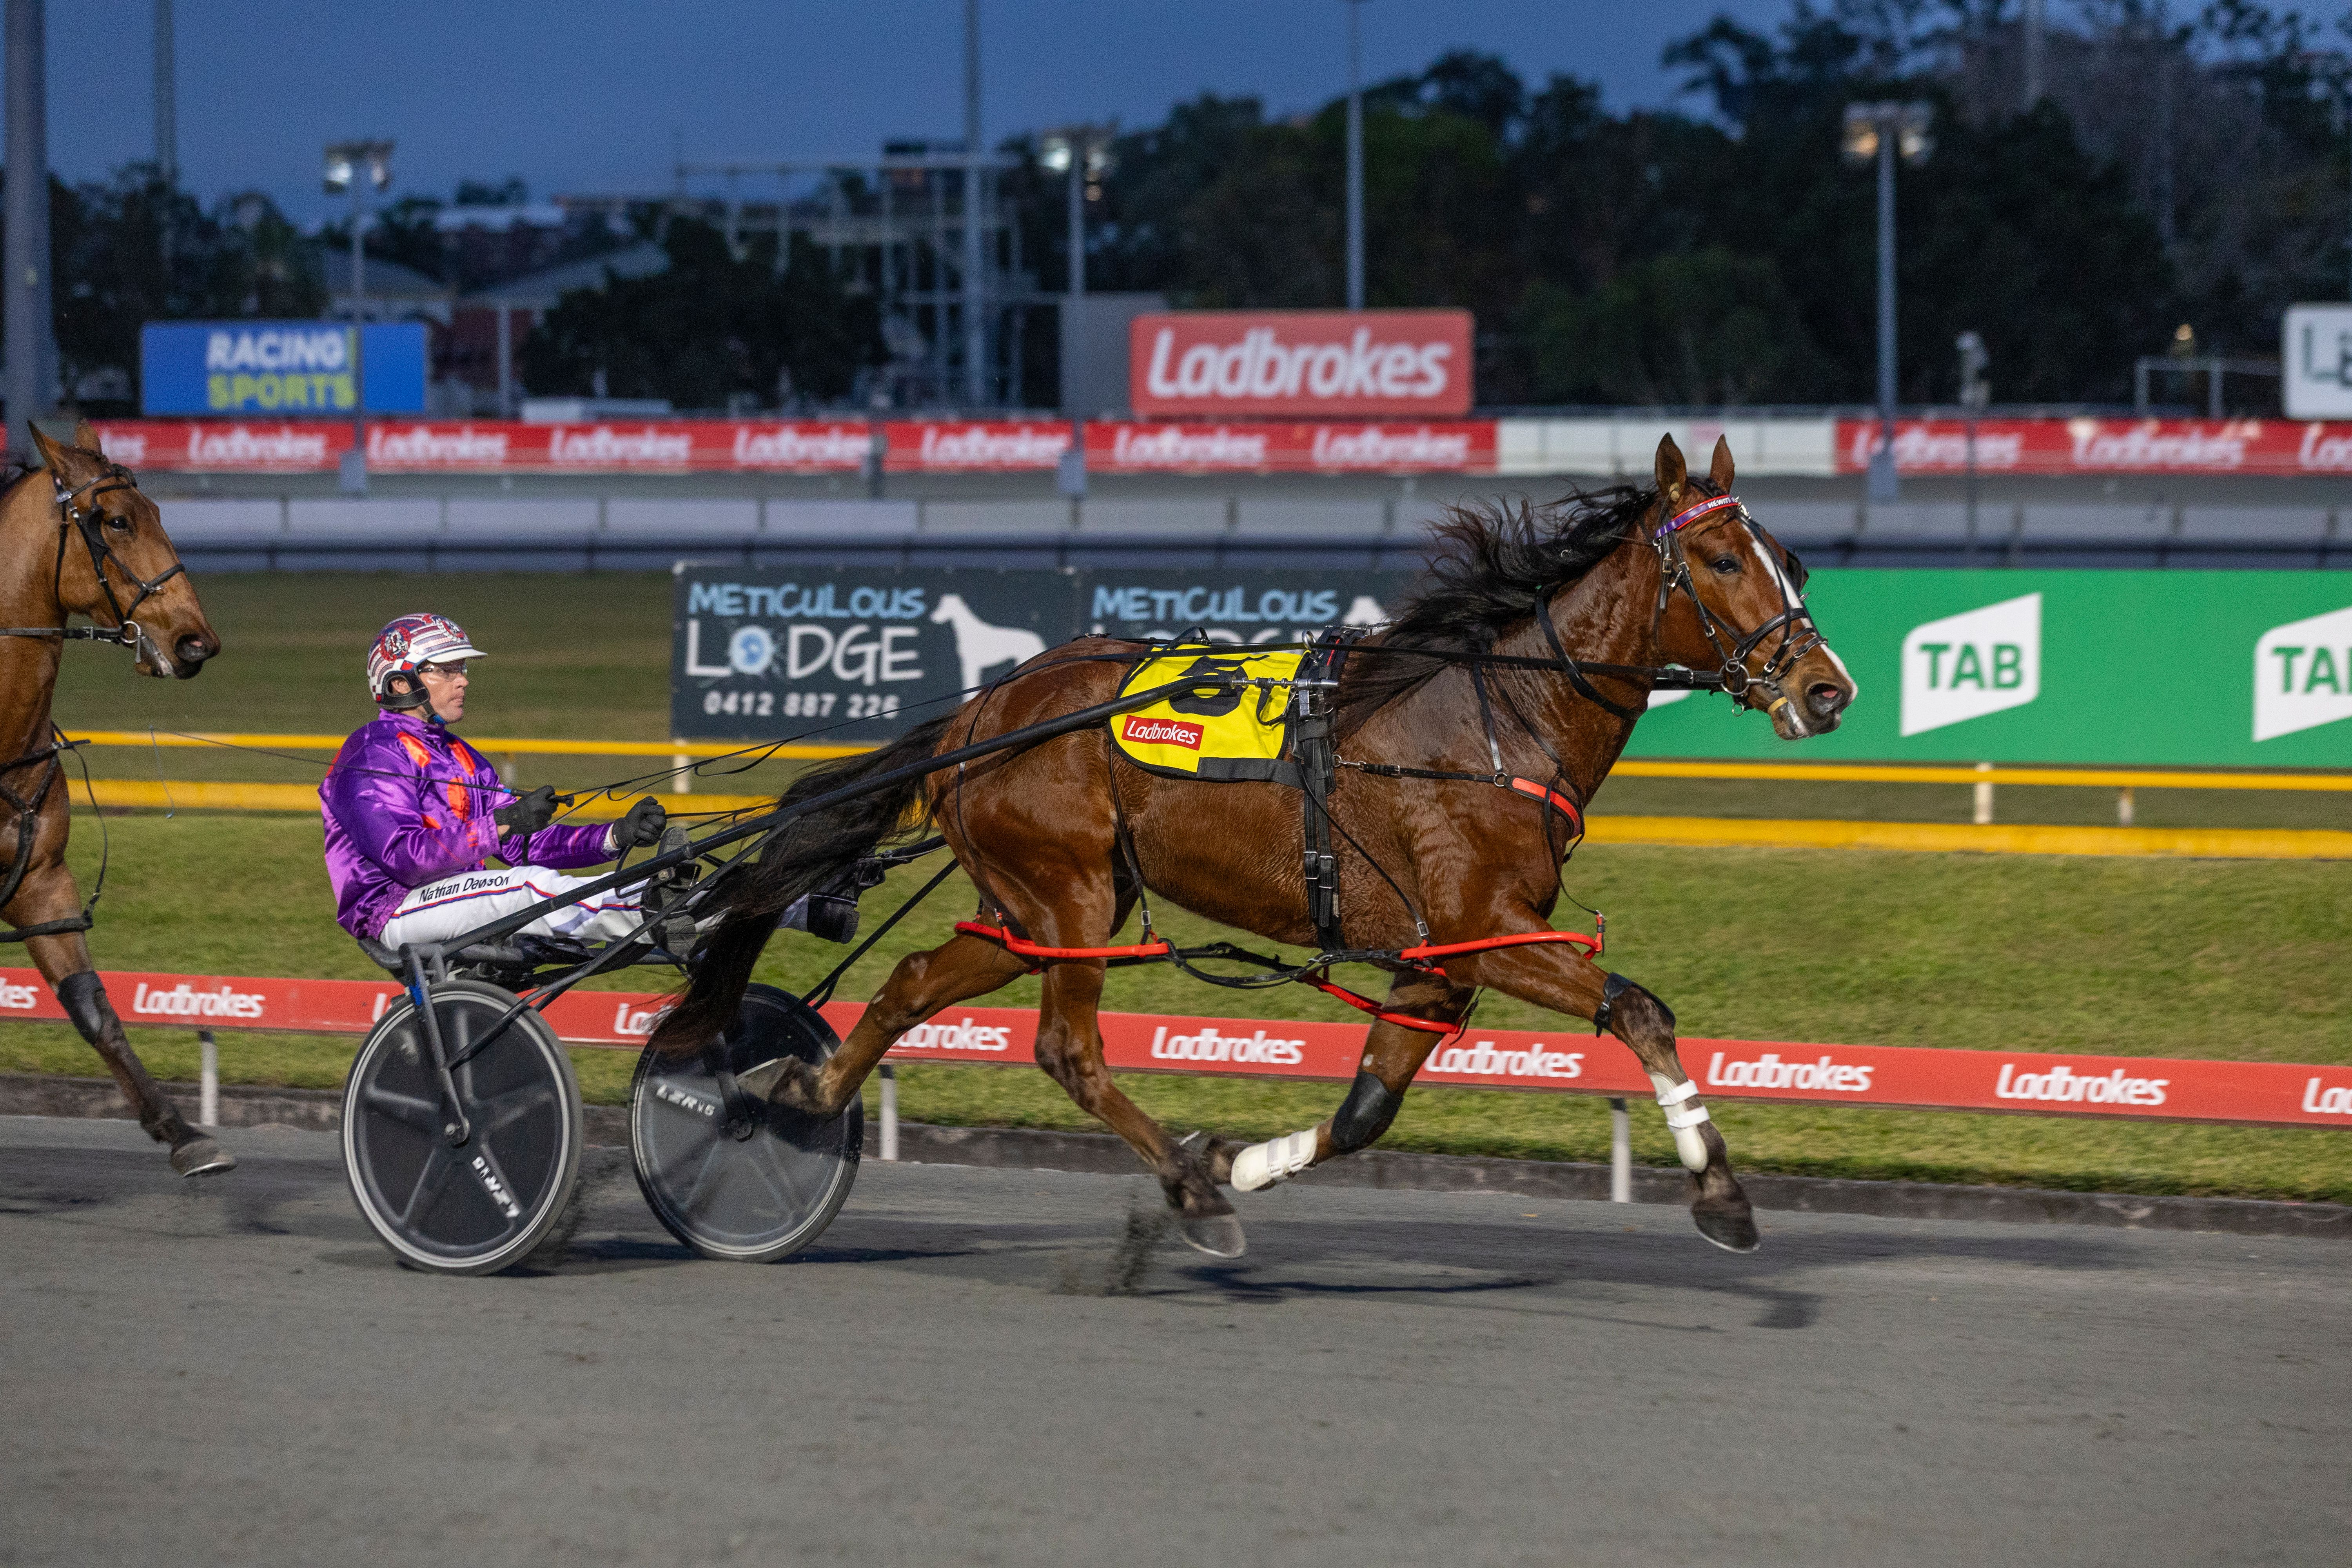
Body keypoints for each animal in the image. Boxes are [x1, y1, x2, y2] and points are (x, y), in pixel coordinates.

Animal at [3, 430, 227, 1175]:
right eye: (117, 521)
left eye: (156, 510)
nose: (196, 640)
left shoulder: (42, 884)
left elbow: (91, 1004)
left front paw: (182, 1129)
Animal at [659, 435, 1853, 1260]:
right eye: (1718, 557)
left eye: (1792, 561)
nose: (1826, 689)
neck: (1494, 719)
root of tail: (982, 711)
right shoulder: (1489, 929)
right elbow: (1641, 1010)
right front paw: (1721, 1193)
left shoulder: (1438, 963)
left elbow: (1368, 1110)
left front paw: (1250, 1158)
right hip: (1070, 899)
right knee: (1069, 1049)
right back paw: (1188, 1195)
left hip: (1031, 908)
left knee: (910, 979)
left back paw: (801, 1093)